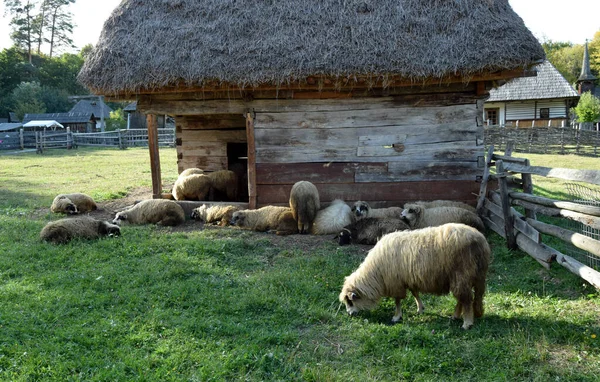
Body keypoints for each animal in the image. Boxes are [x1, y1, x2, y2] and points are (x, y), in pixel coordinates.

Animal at [340, 224, 490, 328]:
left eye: (350, 301)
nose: (349, 314)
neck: (376, 273)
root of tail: (481, 241)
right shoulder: (409, 279)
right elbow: (415, 293)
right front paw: (420, 308)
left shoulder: (396, 282)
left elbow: (397, 301)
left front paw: (396, 317)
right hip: (470, 277)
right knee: (463, 298)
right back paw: (455, 316)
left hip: (462, 274)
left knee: (466, 299)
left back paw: (467, 323)